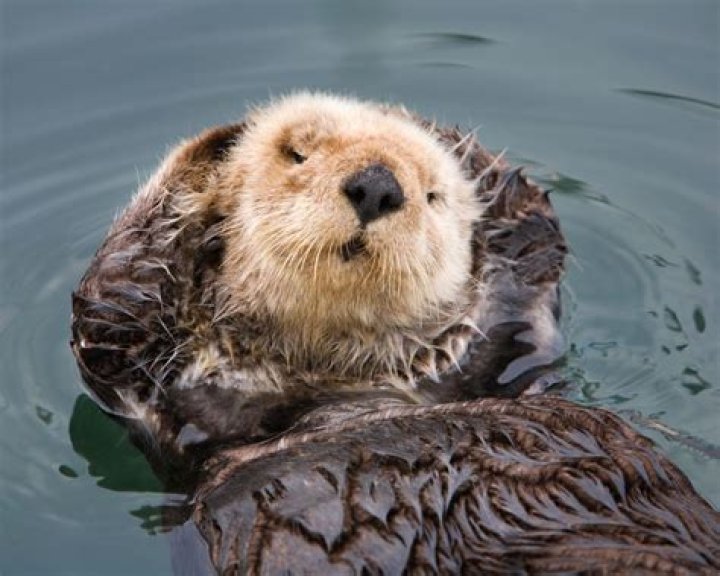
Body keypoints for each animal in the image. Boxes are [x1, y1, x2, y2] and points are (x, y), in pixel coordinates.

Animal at [70, 93, 718, 573]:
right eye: (296, 154)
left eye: (433, 195)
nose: (378, 185)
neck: (336, 388)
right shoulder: (160, 398)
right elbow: (110, 308)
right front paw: (215, 152)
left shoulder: (509, 351)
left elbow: (529, 248)